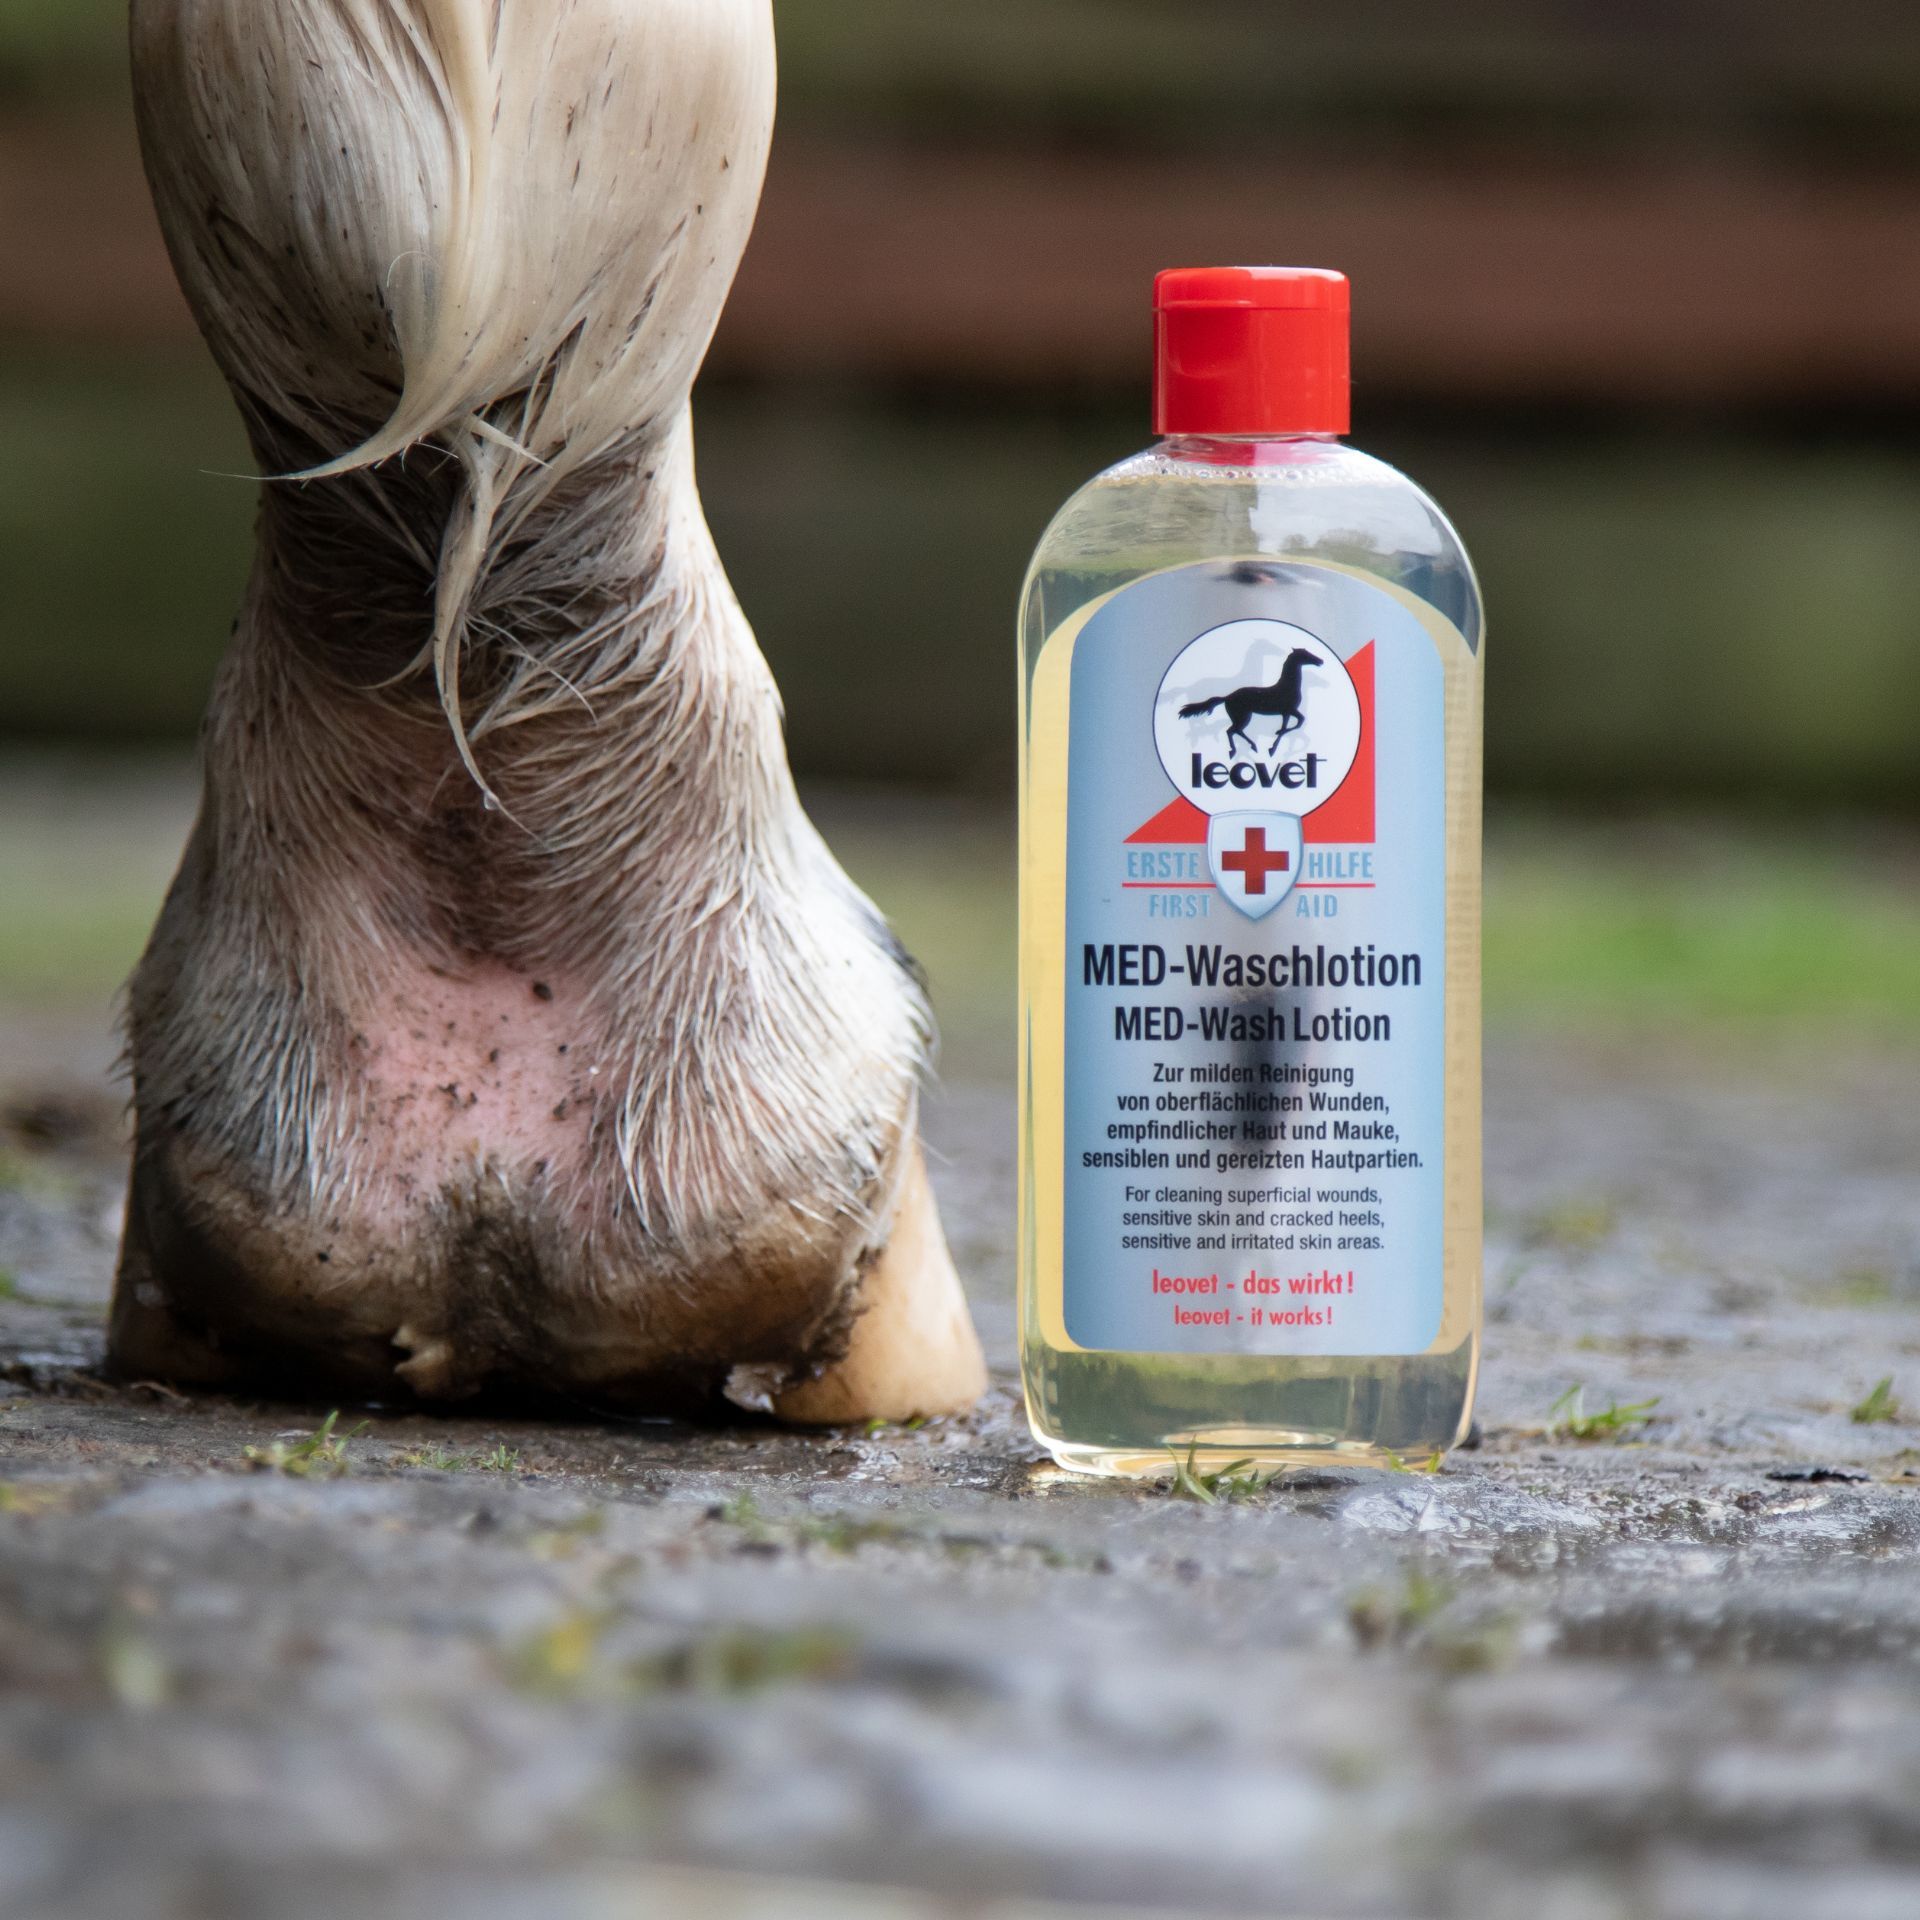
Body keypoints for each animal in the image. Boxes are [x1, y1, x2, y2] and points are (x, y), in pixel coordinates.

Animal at [1179, 648, 1324, 759]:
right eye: (1305, 654)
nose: (1320, 661)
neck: (1288, 687)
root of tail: (1227, 697)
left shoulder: (1286, 713)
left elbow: (1291, 726)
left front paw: (1273, 747)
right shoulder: (1290, 710)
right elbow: (1296, 723)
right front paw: (1273, 747)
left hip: (1244, 716)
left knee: (1235, 731)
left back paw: (1250, 747)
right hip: (1242, 717)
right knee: (1231, 730)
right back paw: (1240, 750)